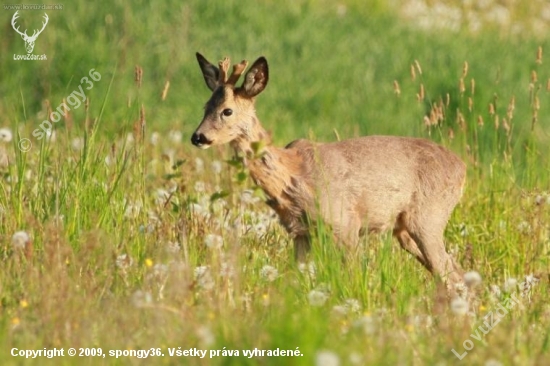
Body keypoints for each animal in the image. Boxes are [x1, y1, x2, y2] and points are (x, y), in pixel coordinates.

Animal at [192, 52, 468, 292]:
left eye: (227, 111)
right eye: (205, 106)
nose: (198, 137)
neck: (293, 175)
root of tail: (462, 168)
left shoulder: (347, 224)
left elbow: (353, 279)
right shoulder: (301, 233)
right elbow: (297, 279)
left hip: (428, 217)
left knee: (450, 273)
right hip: (405, 229)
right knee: (454, 271)